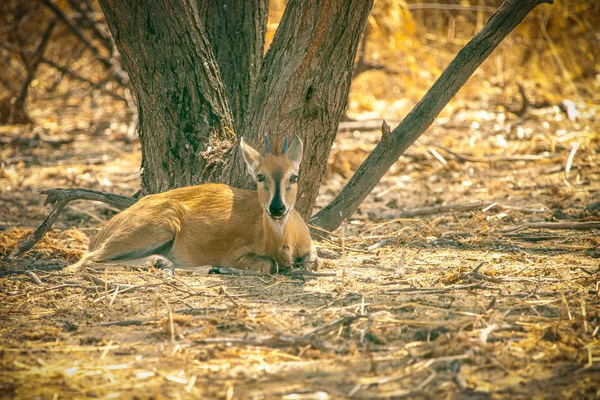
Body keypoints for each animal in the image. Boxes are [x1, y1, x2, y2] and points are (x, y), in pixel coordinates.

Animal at [67, 135, 314, 276]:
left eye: (293, 177)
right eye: (260, 176)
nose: (277, 208)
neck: (285, 243)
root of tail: (100, 233)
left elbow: (312, 261)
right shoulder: (236, 253)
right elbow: (269, 265)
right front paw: (223, 268)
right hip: (159, 226)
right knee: (85, 261)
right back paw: (175, 264)